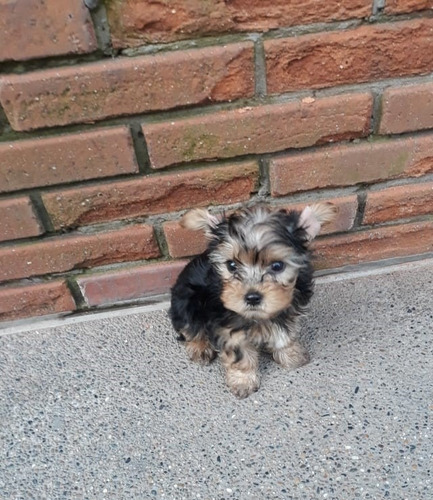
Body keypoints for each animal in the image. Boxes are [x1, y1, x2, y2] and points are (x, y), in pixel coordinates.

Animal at [169, 203, 334, 398]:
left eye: (277, 266)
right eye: (231, 265)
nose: (252, 297)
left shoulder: (287, 309)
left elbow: (284, 334)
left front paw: (292, 355)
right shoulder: (229, 328)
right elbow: (240, 355)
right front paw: (243, 381)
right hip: (184, 301)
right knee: (190, 327)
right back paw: (200, 348)